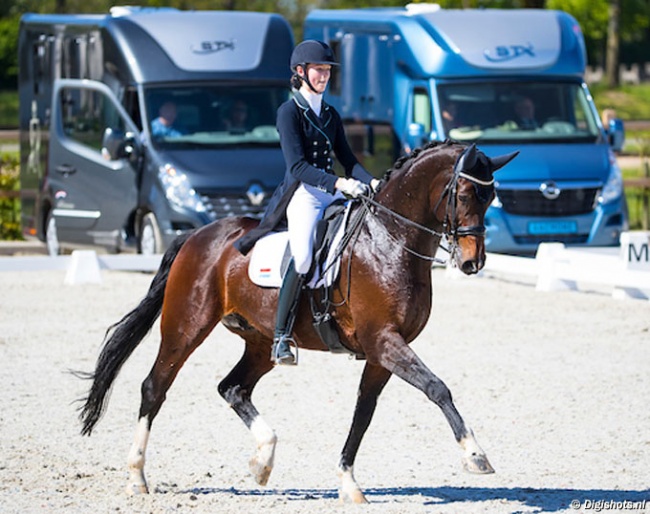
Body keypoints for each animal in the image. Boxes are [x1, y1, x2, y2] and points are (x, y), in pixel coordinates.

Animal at [76, 139, 516, 500]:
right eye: (463, 194)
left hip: (260, 342)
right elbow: (437, 388)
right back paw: (137, 477)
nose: (473, 263)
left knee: (232, 388)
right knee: (155, 387)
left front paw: (348, 483)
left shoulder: (380, 352)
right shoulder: (384, 341)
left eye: (491, 195)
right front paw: (475, 455)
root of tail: (196, 236)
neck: (389, 240)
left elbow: (363, 413)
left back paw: (262, 462)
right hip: (186, 326)